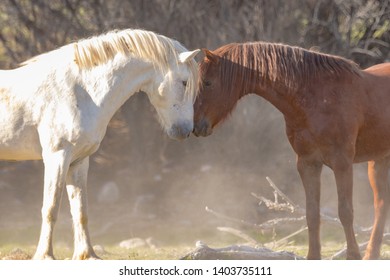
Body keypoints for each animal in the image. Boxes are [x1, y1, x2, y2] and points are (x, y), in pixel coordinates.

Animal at [0, 29, 200, 260]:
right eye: (184, 82)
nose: (185, 130)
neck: (79, 91)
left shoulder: (78, 161)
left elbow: (80, 211)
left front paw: (86, 254)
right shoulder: (56, 156)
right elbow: (51, 208)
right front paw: (45, 255)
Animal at [193, 42, 390, 260]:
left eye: (208, 82)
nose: (195, 125)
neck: (318, 97)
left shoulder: (342, 163)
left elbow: (345, 212)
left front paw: (353, 256)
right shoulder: (307, 163)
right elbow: (312, 214)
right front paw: (313, 256)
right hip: (379, 161)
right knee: (381, 204)